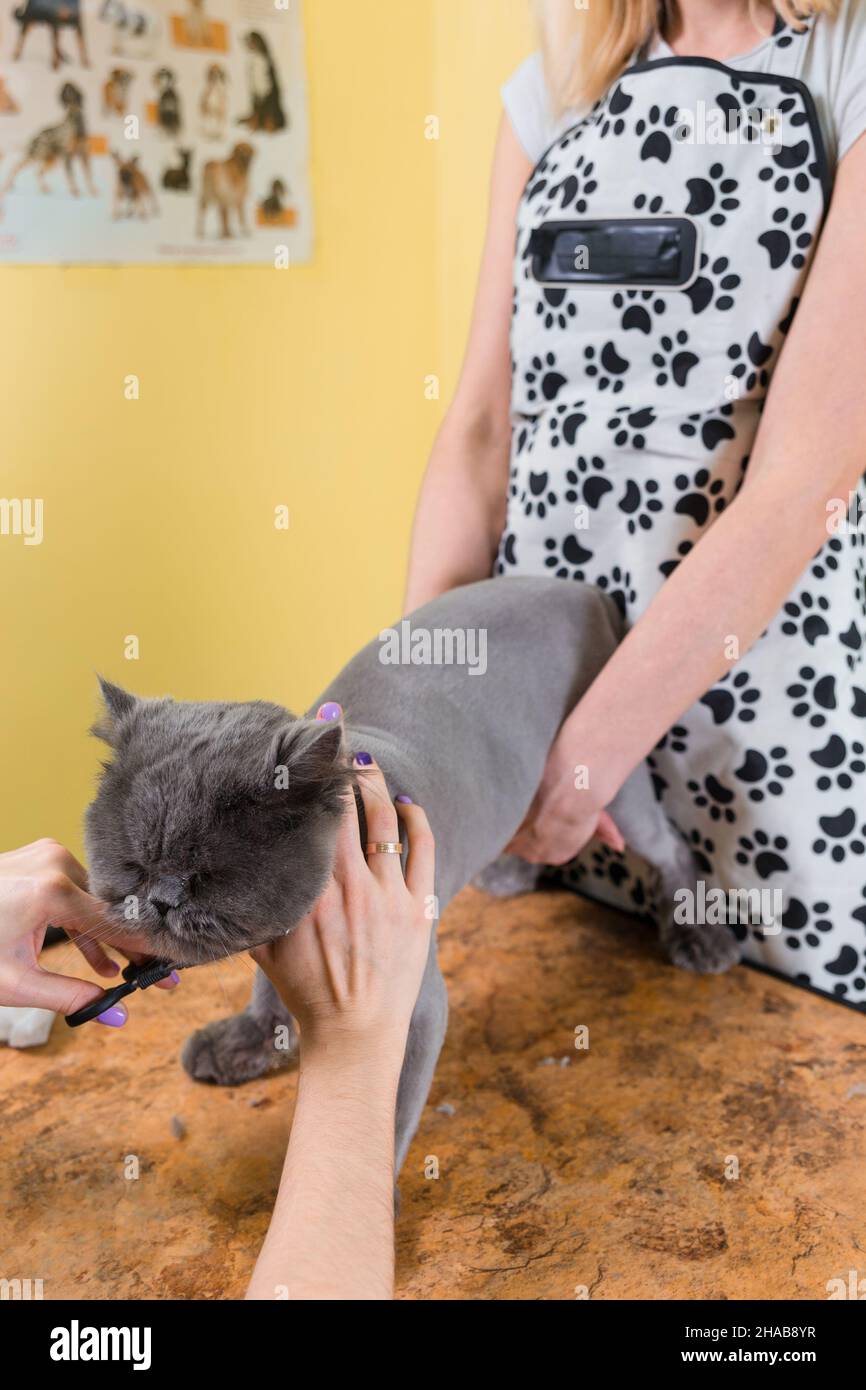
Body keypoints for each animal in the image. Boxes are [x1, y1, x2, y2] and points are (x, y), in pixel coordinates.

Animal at [86, 575, 739, 1173]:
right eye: (133, 863)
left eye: (209, 873)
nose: (161, 898)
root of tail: (578, 588)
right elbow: (269, 996)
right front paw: (247, 1042)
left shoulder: (413, 1003)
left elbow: (383, 1114)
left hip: (608, 777)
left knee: (671, 847)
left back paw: (699, 936)